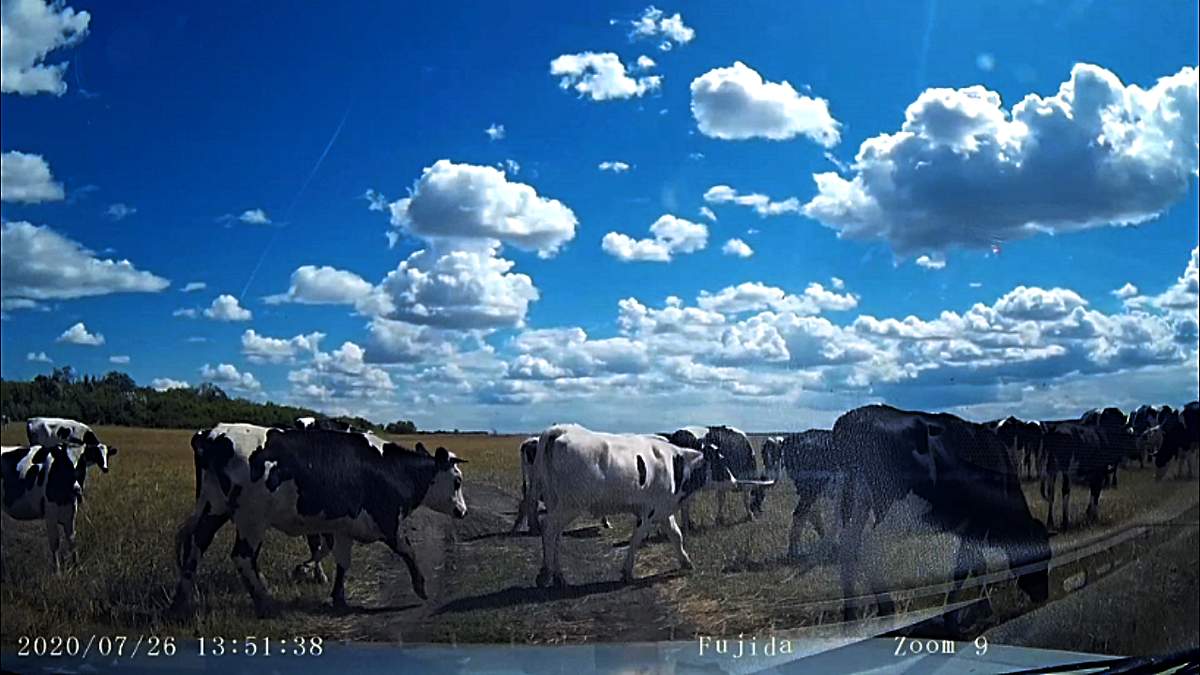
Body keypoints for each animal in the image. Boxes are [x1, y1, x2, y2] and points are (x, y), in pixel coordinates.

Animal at [2, 439, 111, 576]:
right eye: (64, 464)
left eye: (82, 465)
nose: (77, 490)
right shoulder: (50, 515)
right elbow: (55, 543)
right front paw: (57, 572)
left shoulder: (70, 513)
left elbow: (72, 540)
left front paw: (77, 567)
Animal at [166, 422, 465, 619]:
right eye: (457, 481)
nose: (462, 511)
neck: (392, 470)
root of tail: (211, 434)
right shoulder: (387, 520)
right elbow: (408, 550)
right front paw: (421, 588)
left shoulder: (345, 525)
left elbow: (342, 561)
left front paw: (338, 597)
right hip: (251, 519)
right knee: (242, 556)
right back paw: (265, 603)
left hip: (213, 508)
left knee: (195, 548)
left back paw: (180, 602)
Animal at [830, 401, 1046, 629]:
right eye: (1043, 554)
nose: (1043, 595)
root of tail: (853, 416)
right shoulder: (973, 522)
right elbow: (967, 567)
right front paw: (954, 615)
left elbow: (977, 565)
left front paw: (980, 609)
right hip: (888, 507)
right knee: (869, 550)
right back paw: (886, 611)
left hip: (853, 500)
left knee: (848, 548)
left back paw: (850, 619)